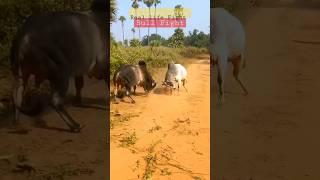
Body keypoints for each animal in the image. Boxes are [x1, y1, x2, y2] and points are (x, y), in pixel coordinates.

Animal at [10, 1, 108, 132]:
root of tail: (25, 35)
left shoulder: (80, 69)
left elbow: (79, 84)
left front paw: (78, 101)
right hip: (60, 73)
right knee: (55, 101)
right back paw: (75, 126)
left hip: (21, 74)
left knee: (17, 96)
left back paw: (17, 124)